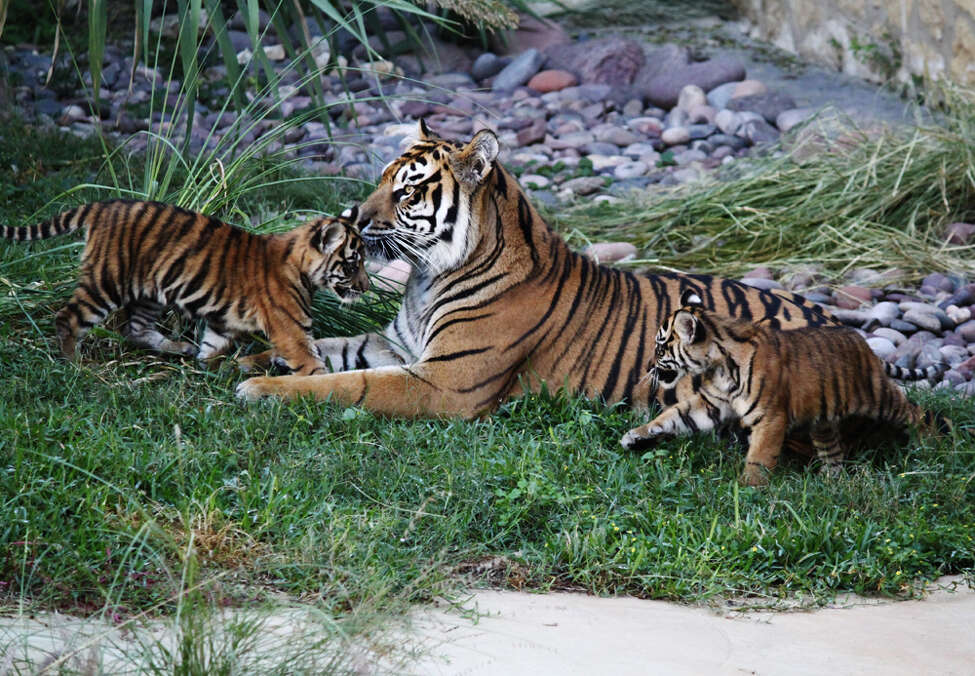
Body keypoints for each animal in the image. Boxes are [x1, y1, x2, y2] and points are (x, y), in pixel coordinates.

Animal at [2, 200, 368, 374]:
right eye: (353, 264)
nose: (365, 288)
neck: (303, 269)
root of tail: (102, 206)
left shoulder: (223, 323)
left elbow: (212, 348)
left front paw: (216, 367)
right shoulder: (292, 332)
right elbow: (311, 363)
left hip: (149, 292)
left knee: (134, 329)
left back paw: (180, 349)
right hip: (108, 282)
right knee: (68, 318)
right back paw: (76, 365)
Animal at [235, 120, 835, 417]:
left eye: (405, 190)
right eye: (381, 177)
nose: (355, 218)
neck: (427, 278)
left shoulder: (444, 382)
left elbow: (347, 385)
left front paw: (260, 388)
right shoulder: (397, 345)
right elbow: (326, 350)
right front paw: (249, 360)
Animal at [619, 299, 947, 486]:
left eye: (660, 347)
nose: (647, 366)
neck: (719, 365)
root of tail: (865, 345)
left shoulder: (770, 417)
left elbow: (759, 455)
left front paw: (748, 488)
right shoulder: (712, 404)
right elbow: (674, 415)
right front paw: (635, 436)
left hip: (876, 396)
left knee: (917, 411)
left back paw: (931, 441)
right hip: (824, 418)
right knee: (832, 449)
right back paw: (830, 482)